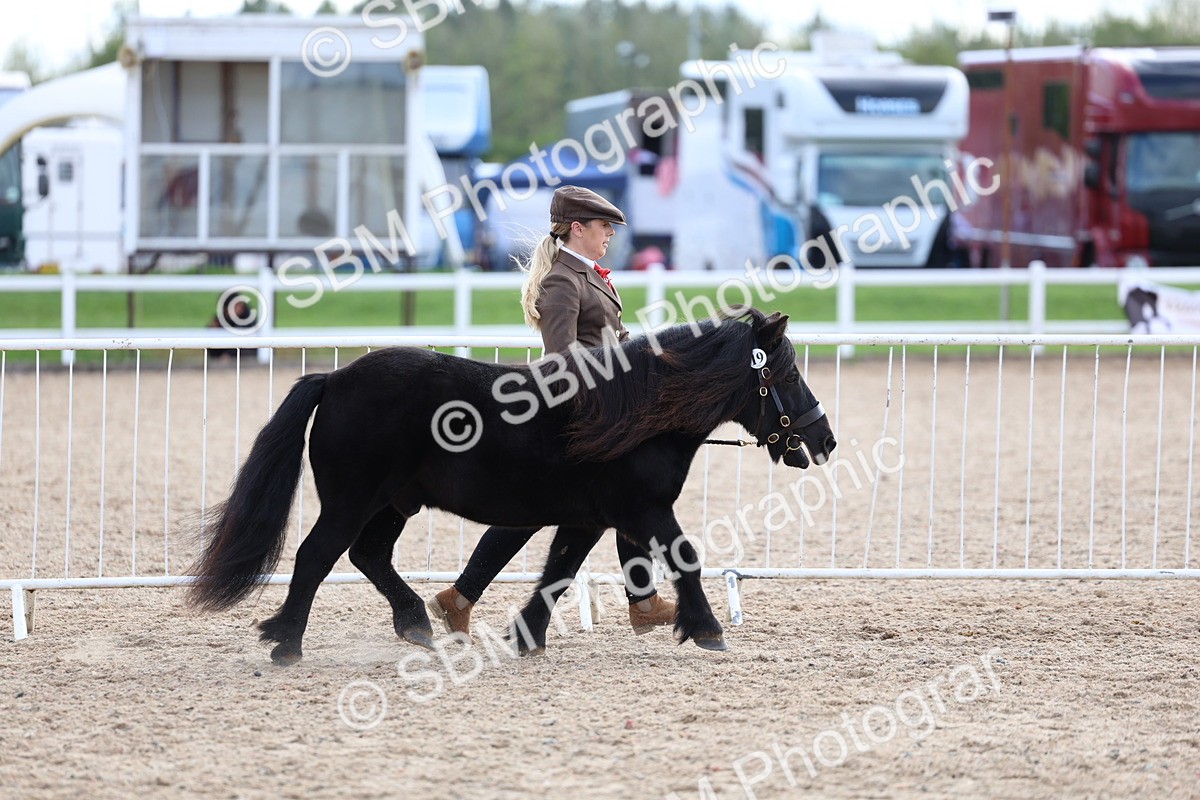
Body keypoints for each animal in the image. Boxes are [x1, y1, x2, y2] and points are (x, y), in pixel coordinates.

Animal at [187, 307, 837, 663]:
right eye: (787, 373)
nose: (825, 439)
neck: (639, 412)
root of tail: (335, 377)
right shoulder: (645, 509)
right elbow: (686, 559)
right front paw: (706, 631)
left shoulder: (589, 517)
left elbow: (559, 571)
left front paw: (528, 636)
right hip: (353, 500)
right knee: (316, 555)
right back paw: (287, 644)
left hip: (395, 503)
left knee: (368, 555)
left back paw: (417, 622)